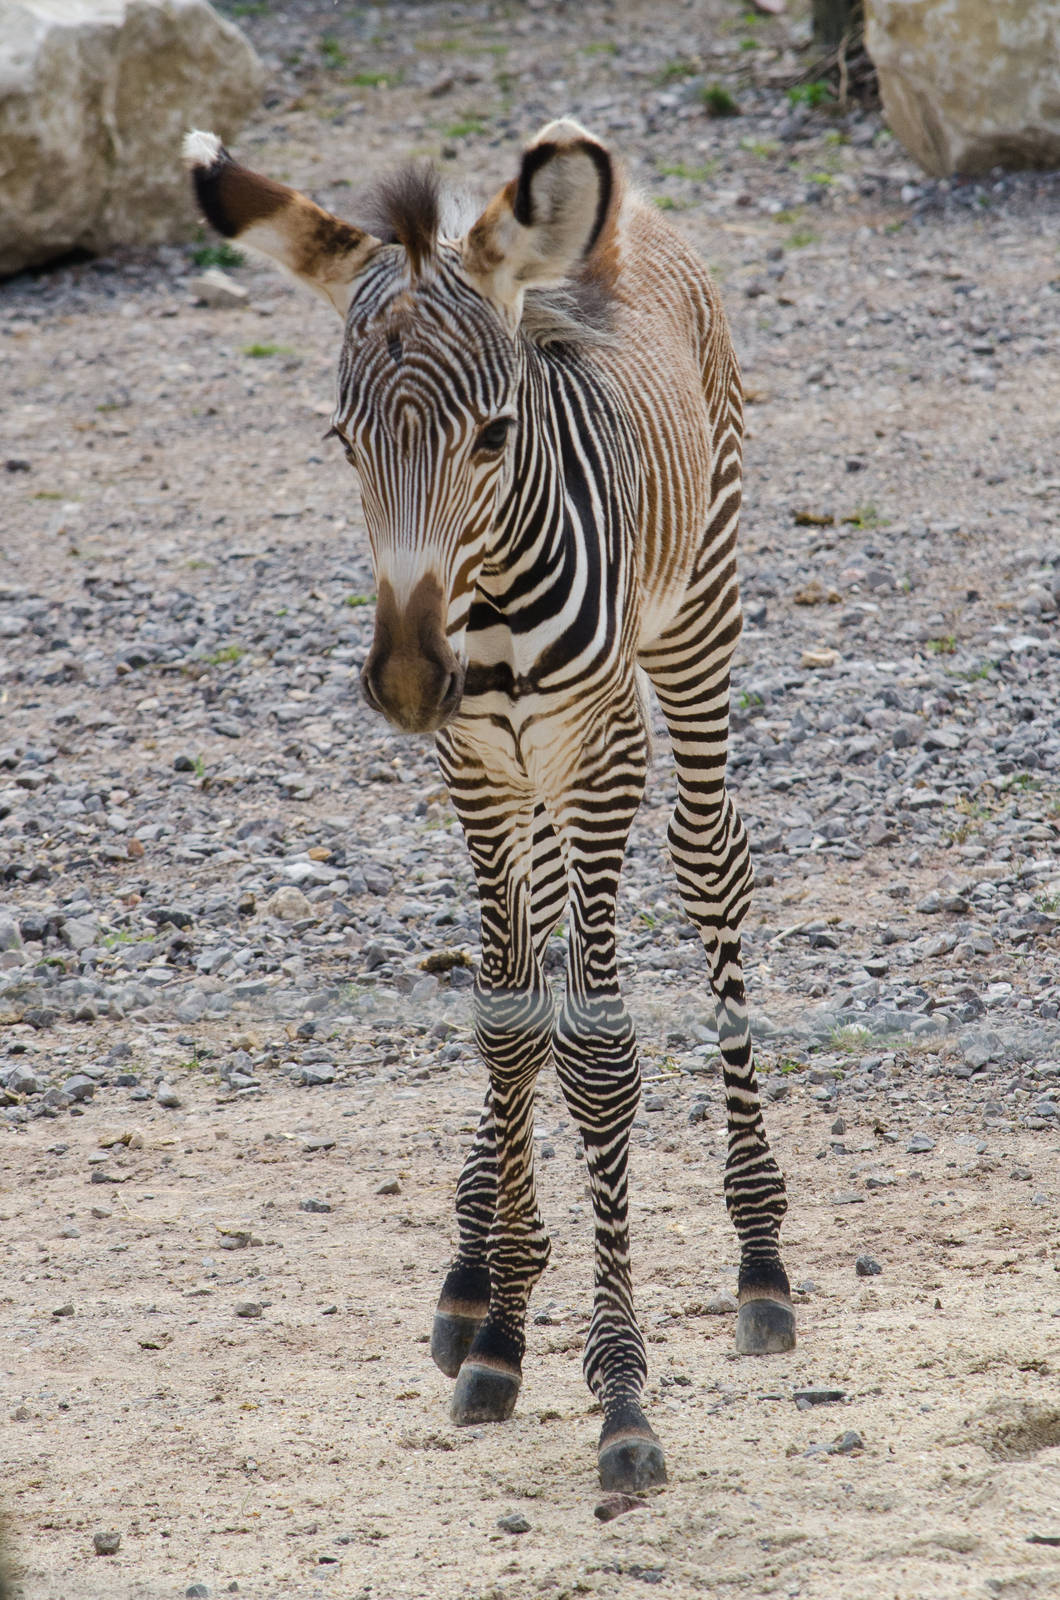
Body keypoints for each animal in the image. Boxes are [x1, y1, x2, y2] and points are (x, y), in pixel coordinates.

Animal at [184, 119, 795, 1493]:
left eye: (493, 435)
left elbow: (598, 1056)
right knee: (544, 953)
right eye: (342, 443)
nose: (412, 678)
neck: (495, 610)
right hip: (532, 779)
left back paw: (760, 1258)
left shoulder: (599, 749)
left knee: (711, 862)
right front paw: (504, 1322)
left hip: (694, 625)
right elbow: (510, 1024)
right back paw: (474, 1261)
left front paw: (621, 1396)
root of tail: (626, 207)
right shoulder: (472, 765)